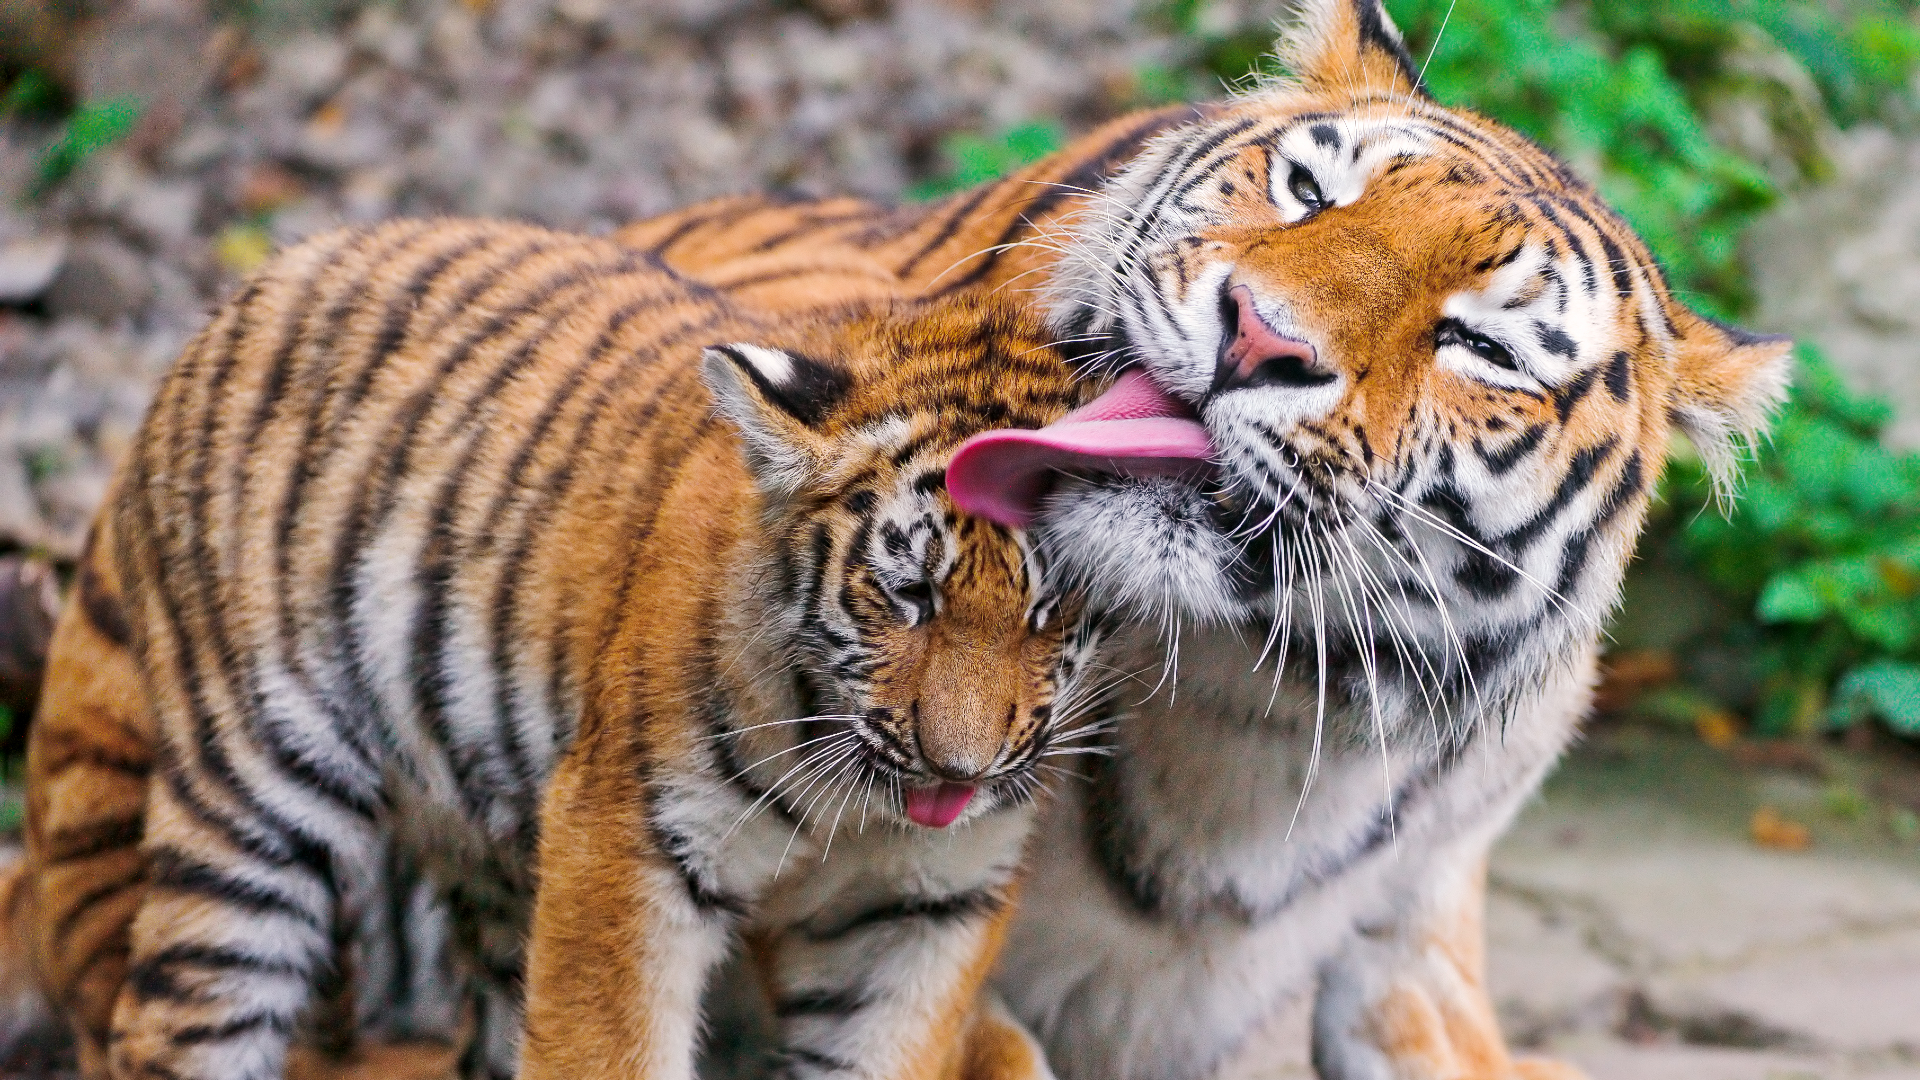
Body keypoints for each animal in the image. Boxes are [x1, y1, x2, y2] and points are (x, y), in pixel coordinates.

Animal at [10, 217, 1114, 1080]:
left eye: (1053, 608)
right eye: (907, 594)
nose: (957, 770)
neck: (860, 800)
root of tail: (255, 282)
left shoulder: (920, 909)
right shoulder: (629, 841)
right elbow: (604, 1048)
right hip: (248, 796)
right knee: (173, 1019)